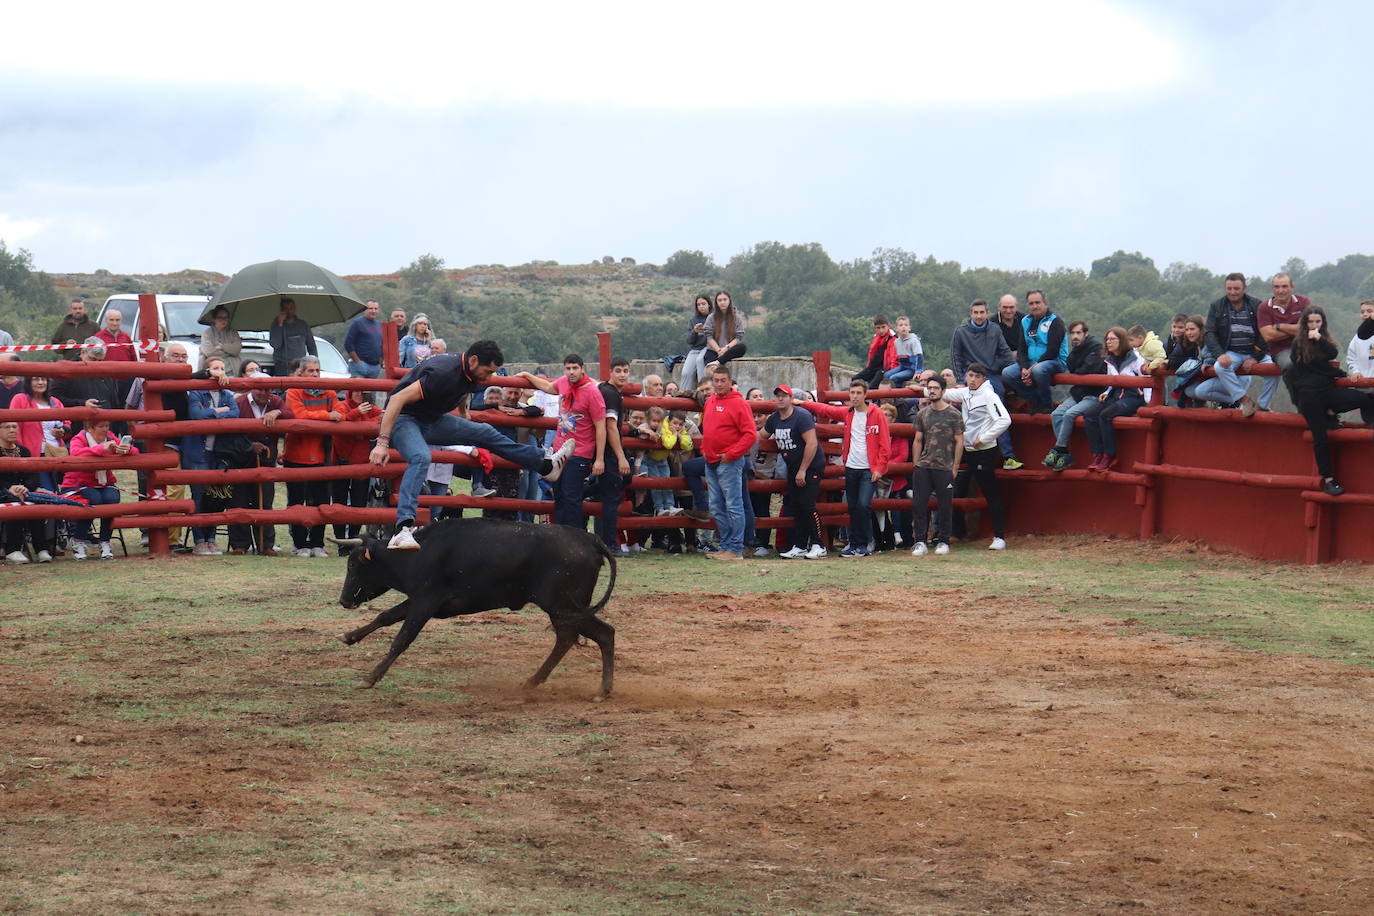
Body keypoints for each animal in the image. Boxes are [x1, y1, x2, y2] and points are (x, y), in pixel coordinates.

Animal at [338, 519, 618, 697]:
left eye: (353, 565)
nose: (343, 600)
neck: (417, 553)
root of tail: (590, 539)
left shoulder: (425, 602)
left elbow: (402, 638)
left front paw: (370, 677)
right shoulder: (420, 600)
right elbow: (386, 616)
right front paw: (349, 636)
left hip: (563, 607)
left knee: (596, 634)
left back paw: (600, 690)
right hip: (566, 609)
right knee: (581, 636)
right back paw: (537, 682)